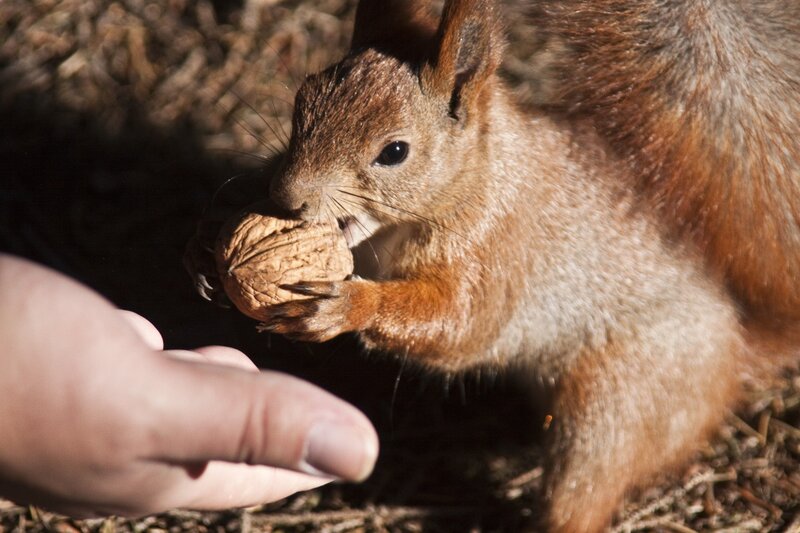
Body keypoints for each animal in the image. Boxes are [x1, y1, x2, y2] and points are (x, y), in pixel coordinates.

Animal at [192, 0, 799, 531]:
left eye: (394, 152)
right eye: (302, 100)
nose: (287, 196)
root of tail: (739, 345)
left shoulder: (497, 246)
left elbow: (464, 322)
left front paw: (347, 305)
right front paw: (206, 251)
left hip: (624, 396)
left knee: (587, 483)